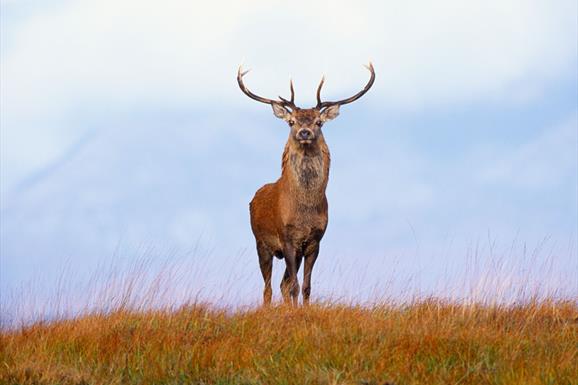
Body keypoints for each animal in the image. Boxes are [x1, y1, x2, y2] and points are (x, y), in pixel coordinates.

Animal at [235, 63, 374, 304]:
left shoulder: (314, 242)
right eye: (292, 122)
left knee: (281, 284)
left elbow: (306, 286)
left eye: (319, 122)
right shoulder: (286, 238)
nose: (305, 132)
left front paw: (304, 308)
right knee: (268, 288)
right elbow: (294, 286)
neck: (304, 213)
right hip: (261, 242)